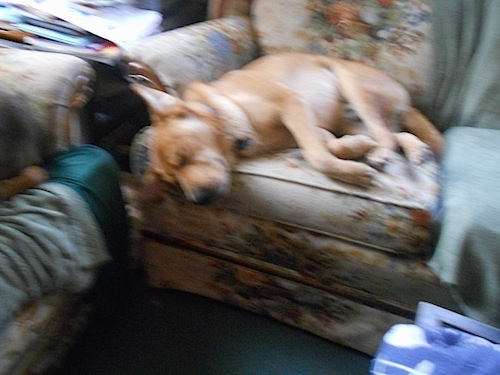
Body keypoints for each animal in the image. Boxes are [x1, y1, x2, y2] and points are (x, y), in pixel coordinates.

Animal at [131, 52, 444, 206]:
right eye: (171, 181)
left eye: (183, 156)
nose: (199, 201)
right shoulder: (312, 124)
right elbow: (328, 144)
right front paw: (354, 147)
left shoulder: (293, 103)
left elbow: (318, 156)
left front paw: (353, 171)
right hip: (351, 116)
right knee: (391, 133)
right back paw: (414, 149)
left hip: (351, 83)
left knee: (385, 135)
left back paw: (382, 154)